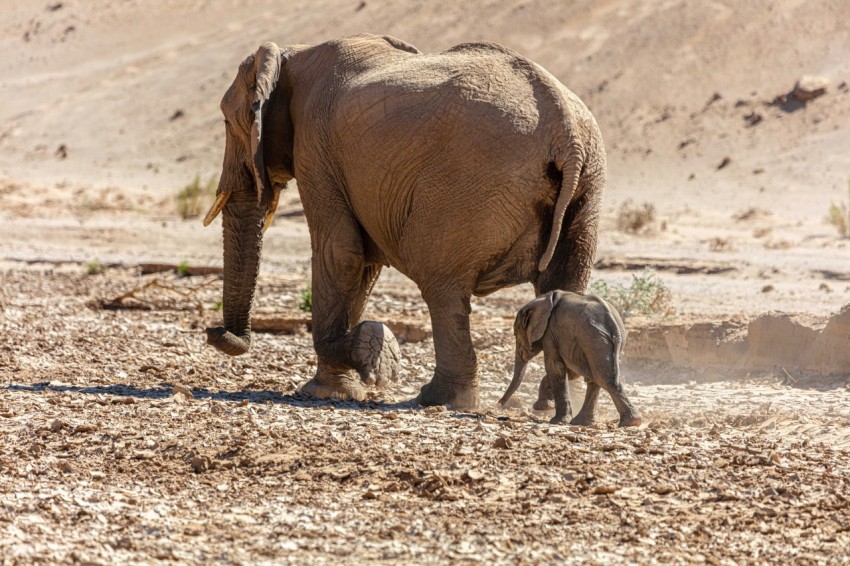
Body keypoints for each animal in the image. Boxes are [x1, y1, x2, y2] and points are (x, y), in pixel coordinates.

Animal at [202, 34, 607, 410]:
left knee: (440, 285)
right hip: (588, 187)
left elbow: (340, 252)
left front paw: (364, 361)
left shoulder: (315, 147)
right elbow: (363, 264)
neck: (294, 53)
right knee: (564, 282)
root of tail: (566, 131)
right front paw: (342, 384)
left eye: (226, 120)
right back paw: (553, 404)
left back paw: (438, 398)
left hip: (472, 187)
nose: (214, 331)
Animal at [499, 291, 641, 427]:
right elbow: (570, 371)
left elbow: (555, 367)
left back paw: (630, 422)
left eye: (515, 334)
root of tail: (613, 323)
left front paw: (556, 419)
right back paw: (585, 422)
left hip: (593, 338)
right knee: (596, 376)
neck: (541, 299)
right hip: (599, 340)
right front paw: (544, 407)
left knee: (602, 378)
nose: (499, 404)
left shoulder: (550, 333)